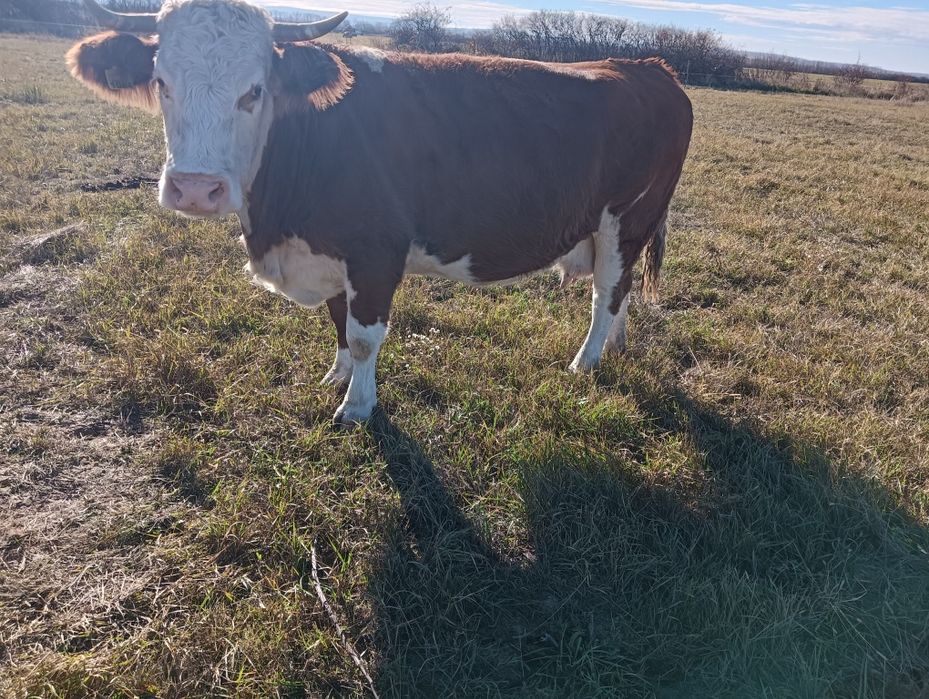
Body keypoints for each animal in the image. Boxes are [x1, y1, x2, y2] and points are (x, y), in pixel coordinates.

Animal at [67, 0, 693, 425]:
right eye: (161, 81)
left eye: (255, 90)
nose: (197, 189)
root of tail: (648, 65)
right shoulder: (329, 255)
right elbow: (338, 321)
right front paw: (337, 375)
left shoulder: (375, 252)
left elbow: (366, 334)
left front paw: (357, 405)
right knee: (621, 288)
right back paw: (615, 346)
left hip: (627, 217)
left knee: (607, 290)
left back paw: (587, 360)